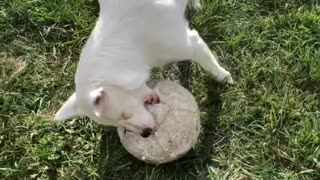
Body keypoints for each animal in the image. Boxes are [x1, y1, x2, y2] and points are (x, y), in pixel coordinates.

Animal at [53, 0, 232, 137]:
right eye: (117, 124)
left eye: (125, 115)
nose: (145, 134)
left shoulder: (192, 44)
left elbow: (210, 64)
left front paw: (223, 76)